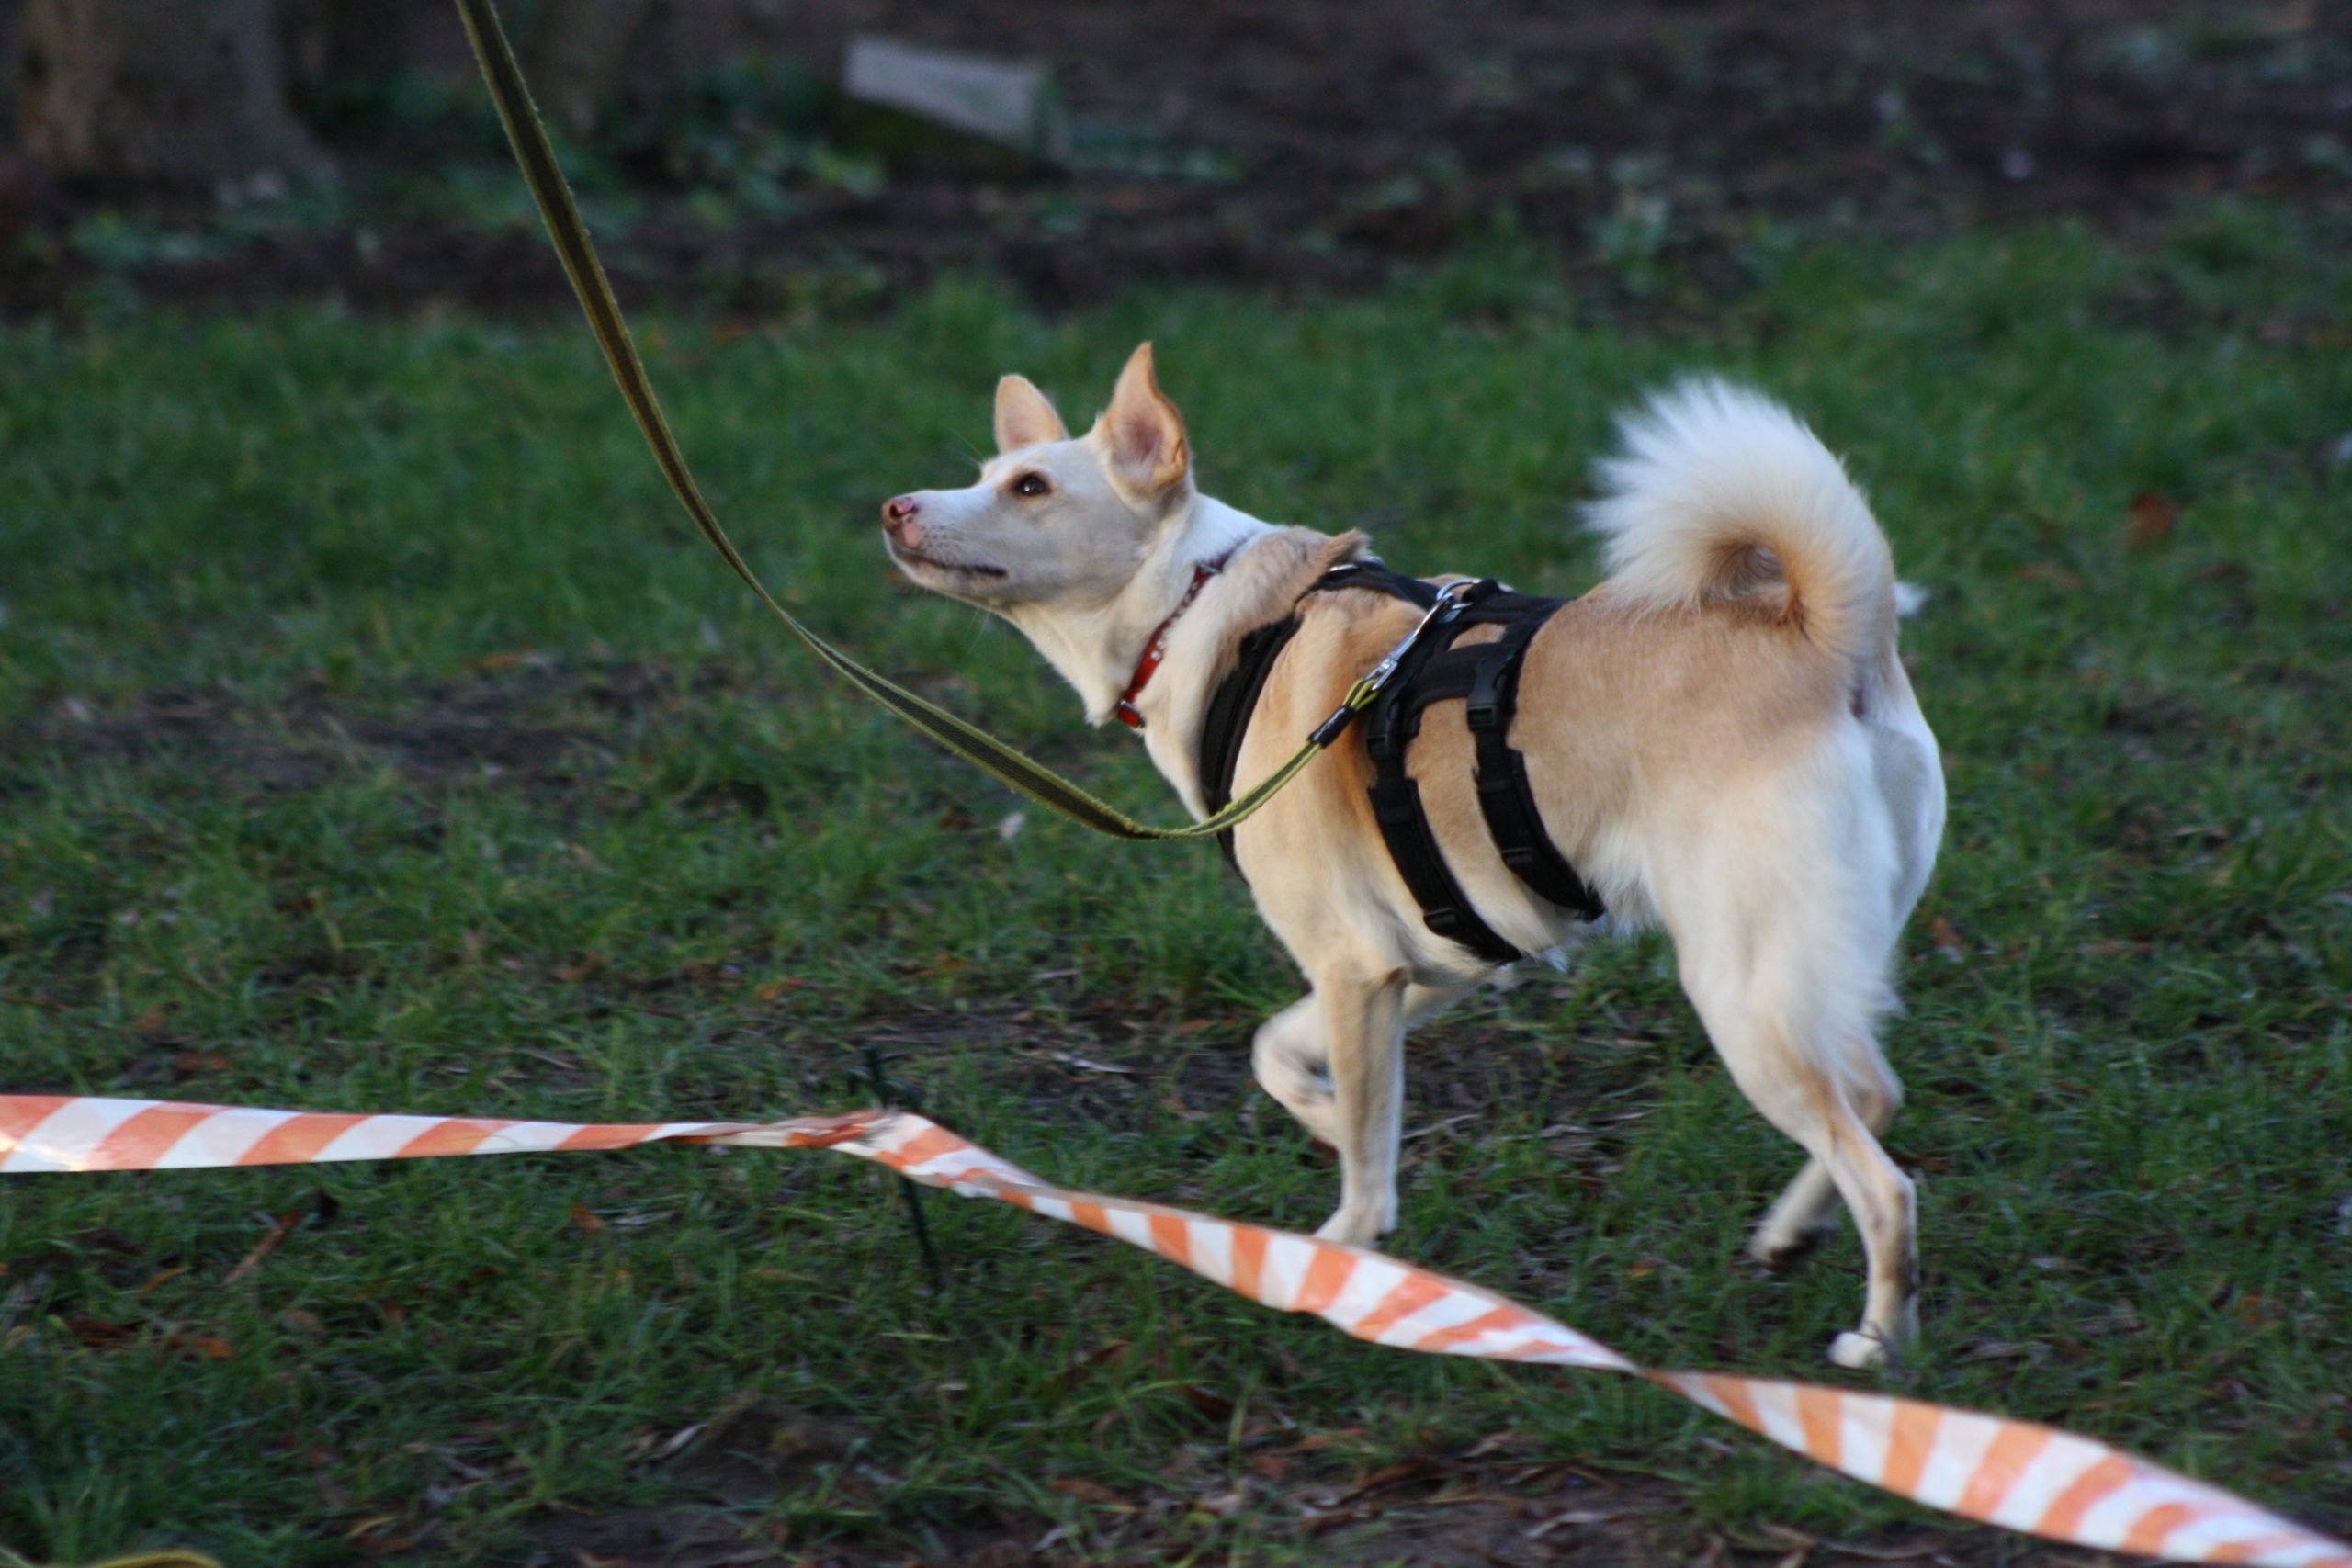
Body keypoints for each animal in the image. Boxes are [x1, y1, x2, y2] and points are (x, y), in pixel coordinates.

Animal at [879, 345, 1944, 1369]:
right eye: (984, 475)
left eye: (1029, 487)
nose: (894, 507)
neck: (1204, 608)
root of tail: (1828, 638)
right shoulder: (1432, 956)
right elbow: (1282, 1054)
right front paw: (1316, 1112)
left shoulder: (1354, 966)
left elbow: (1362, 1163)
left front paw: (1335, 1261)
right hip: (1805, 967)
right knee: (1873, 1097)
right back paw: (1791, 1234)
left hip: (1739, 985)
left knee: (1884, 1178)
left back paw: (1878, 1341)